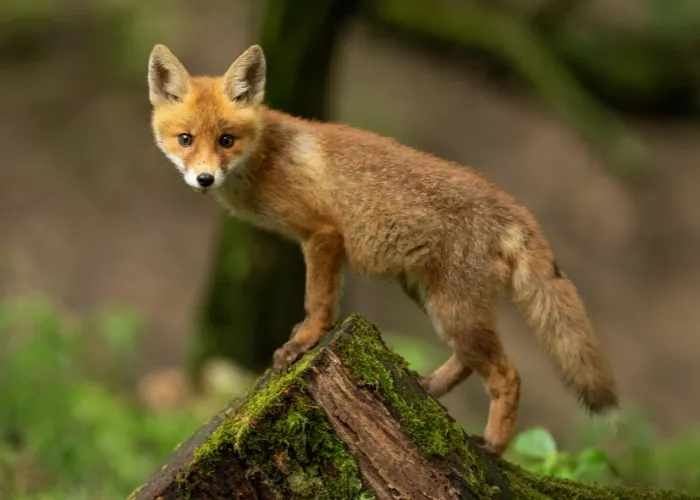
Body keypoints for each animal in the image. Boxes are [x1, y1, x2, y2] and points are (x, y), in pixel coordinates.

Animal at [146, 43, 616, 458]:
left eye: (227, 140)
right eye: (186, 139)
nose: (204, 179)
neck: (266, 158)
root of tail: (515, 209)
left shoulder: (323, 234)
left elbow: (318, 302)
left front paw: (304, 342)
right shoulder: (325, 244)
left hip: (454, 310)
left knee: (508, 374)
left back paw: (494, 447)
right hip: (436, 302)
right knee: (470, 361)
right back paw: (429, 390)